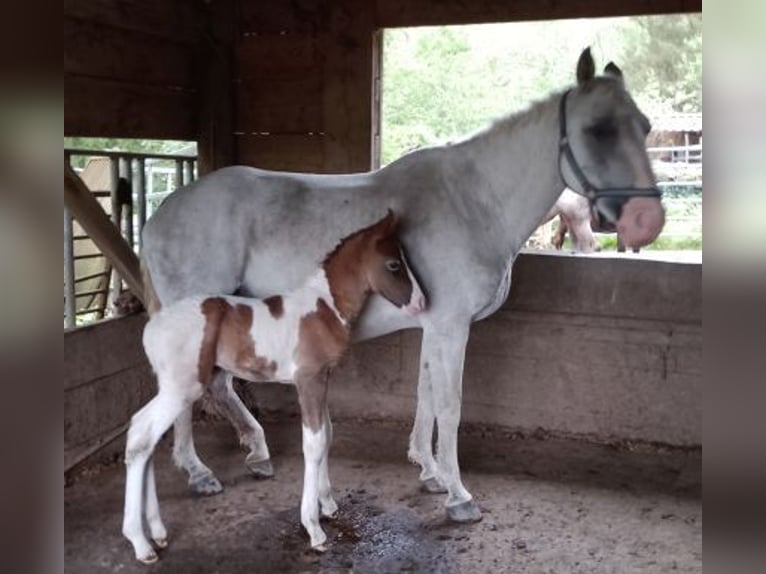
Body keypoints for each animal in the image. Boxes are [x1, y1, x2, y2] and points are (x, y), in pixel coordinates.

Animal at [123, 210, 428, 564]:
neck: (323, 307)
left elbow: (327, 436)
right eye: (394, 264)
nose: (421, 302)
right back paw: (141, 543)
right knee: (142, 437)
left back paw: (156, 534)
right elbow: (314, 443)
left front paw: (328, 505)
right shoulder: (308, 380)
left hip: (173, 389)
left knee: (144, 435)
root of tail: (151, 328)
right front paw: (314, 529)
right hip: (180, 389)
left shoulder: (323, 379)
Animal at [142, 49, 664, 524]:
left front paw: (430, 472)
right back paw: (199, 472)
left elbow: (426, 395)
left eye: (644, 126)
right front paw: (459, 496)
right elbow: (450, 406)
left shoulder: (434, 326)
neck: (473, 203)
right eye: (597, 129)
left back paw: (255, 452)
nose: (646, 221)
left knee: (218, 385)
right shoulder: (451, 326)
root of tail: (159, 214)